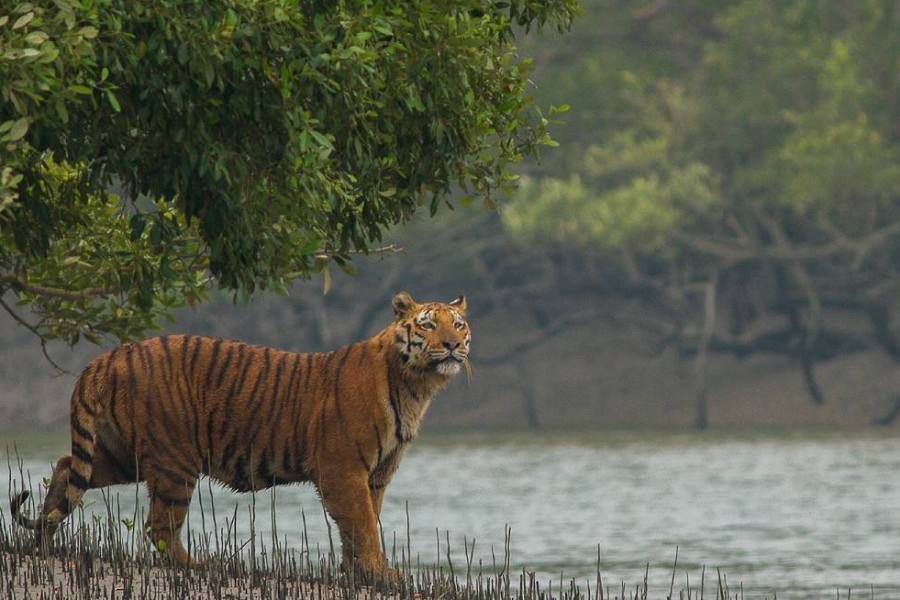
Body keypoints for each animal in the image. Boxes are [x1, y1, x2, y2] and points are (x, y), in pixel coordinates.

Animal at [10, 291, 470, 579]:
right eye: (428, 326)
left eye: (459, 325)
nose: (452, 345)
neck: (416, 385)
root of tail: (109, 355)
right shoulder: (343, 469)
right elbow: (361, 524)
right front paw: (380, 574)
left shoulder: (376, 474)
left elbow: (364, 523)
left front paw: (360, 572)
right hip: (175, 460)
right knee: (159, 527)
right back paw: (198, 566)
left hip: (122, 454)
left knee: (66, 468)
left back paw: (43, 543)